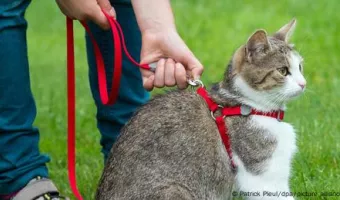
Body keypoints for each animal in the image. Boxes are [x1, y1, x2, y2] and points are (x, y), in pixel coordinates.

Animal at [95, 19, 306, 200]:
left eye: (300, 67)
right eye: (283, 71)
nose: (303, 83)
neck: (248, 106)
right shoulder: (263, 175)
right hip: (175, 191)